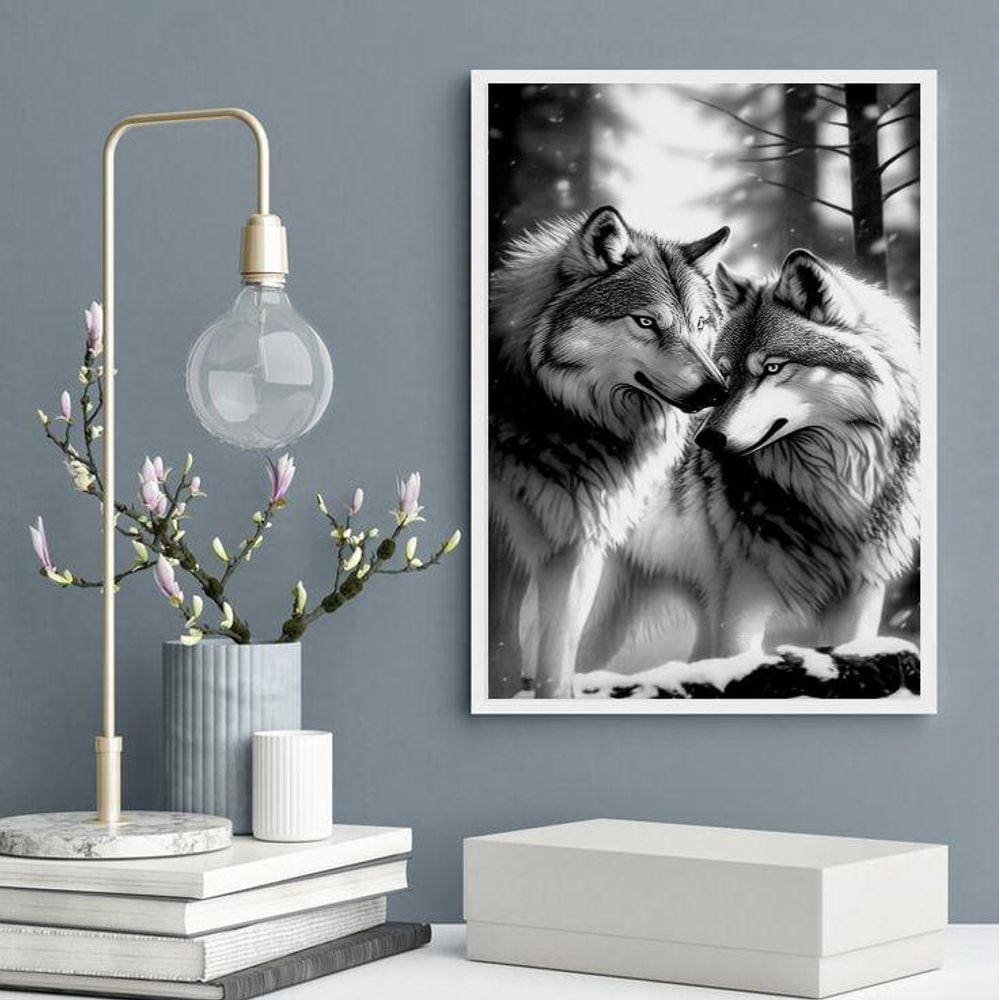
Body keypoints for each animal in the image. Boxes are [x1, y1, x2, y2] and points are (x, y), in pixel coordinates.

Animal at [489, 206, 730, 697]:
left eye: (699, 325)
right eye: (647, 322)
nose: (717, 389)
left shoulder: (574, 545)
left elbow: (556, 665)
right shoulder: (501, 540)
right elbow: (499, 644)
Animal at [619, 248, 921, 661]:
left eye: (773, 367)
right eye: (726, 377)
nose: (706, 439)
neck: (835, 489)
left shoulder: (859, 595)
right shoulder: (739, 600)